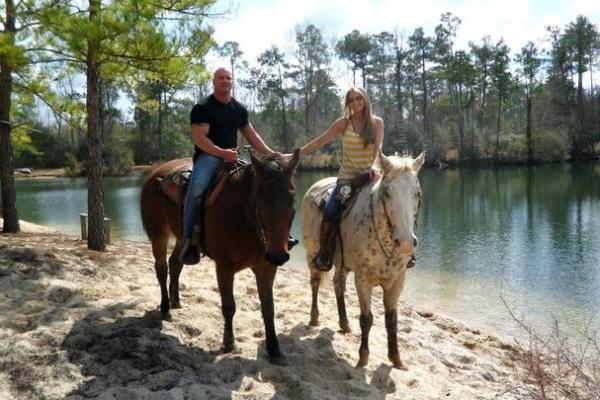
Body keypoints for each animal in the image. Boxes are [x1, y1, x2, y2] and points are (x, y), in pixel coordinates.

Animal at [141, 150, 300, 362]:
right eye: (260, 198)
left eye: (292, 199)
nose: (278, 256)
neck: (245, 219)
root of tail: (154, 172)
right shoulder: (224, 268)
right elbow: (229, 305)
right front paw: (228, 342)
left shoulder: (266, 267)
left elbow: (268, 308)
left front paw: (274, 349)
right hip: (159, 233)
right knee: (161, 268)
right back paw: (165, 308)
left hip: (182, 237)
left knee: (175, 263)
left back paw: (176, 302)